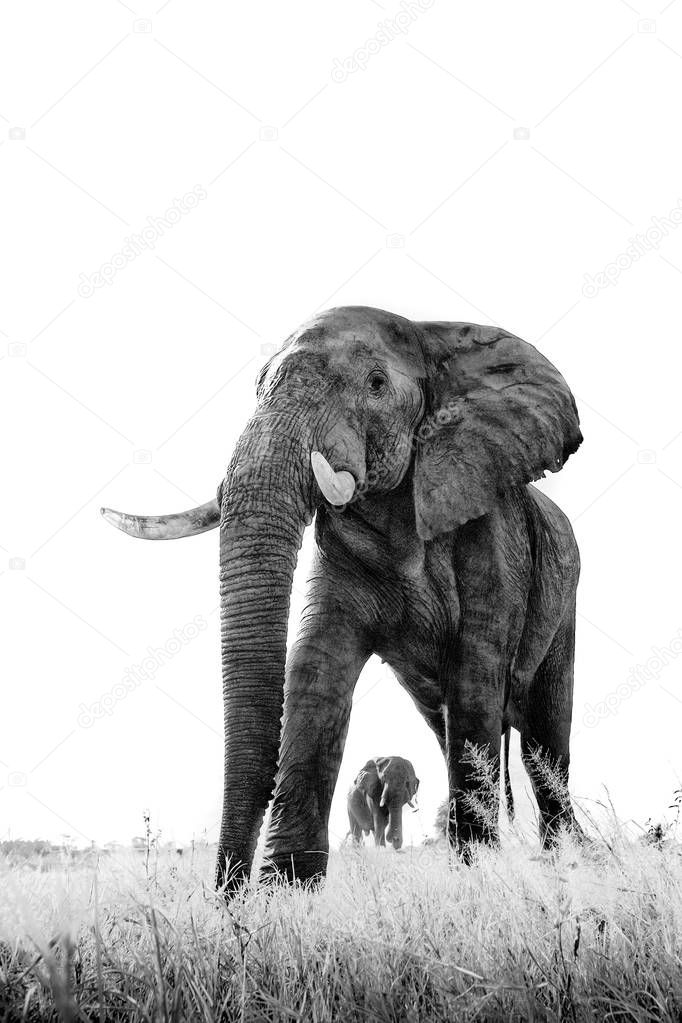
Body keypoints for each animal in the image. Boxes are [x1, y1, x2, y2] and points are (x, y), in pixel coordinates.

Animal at [101, 304, 580, 896]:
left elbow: (476, 676)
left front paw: (478, 880)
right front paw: (286, 892)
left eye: (375, 384)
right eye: (257, 388)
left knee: (543, 740)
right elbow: (316, 673)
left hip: (564, 595)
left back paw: (565, 860)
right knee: (450, 730)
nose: (224, 896)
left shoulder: (491, 536)